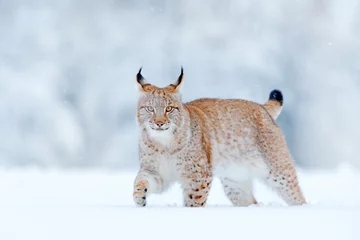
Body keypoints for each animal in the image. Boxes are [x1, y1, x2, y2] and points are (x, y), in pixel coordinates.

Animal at [134, 67, 306, 206]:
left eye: (169, 108)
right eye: (150, 108)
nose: (159, 123)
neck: (164, 142)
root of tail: (261, 107)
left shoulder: (199, 175)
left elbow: (194, 200)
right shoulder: (156, 171)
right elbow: (141, 179)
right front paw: (139, 194)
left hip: (279, 171)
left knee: (298, 196)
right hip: (235, 181)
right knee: (251, 202)